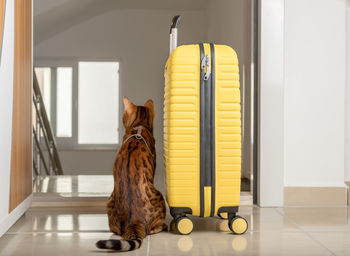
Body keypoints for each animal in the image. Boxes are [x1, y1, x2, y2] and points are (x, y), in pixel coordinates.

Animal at [95, 96, 167, 252]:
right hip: (159, 195)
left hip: (109, 201)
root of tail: (134, 220)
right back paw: (163, 226)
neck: (139, 126)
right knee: (153, 229)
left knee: (115, 230)